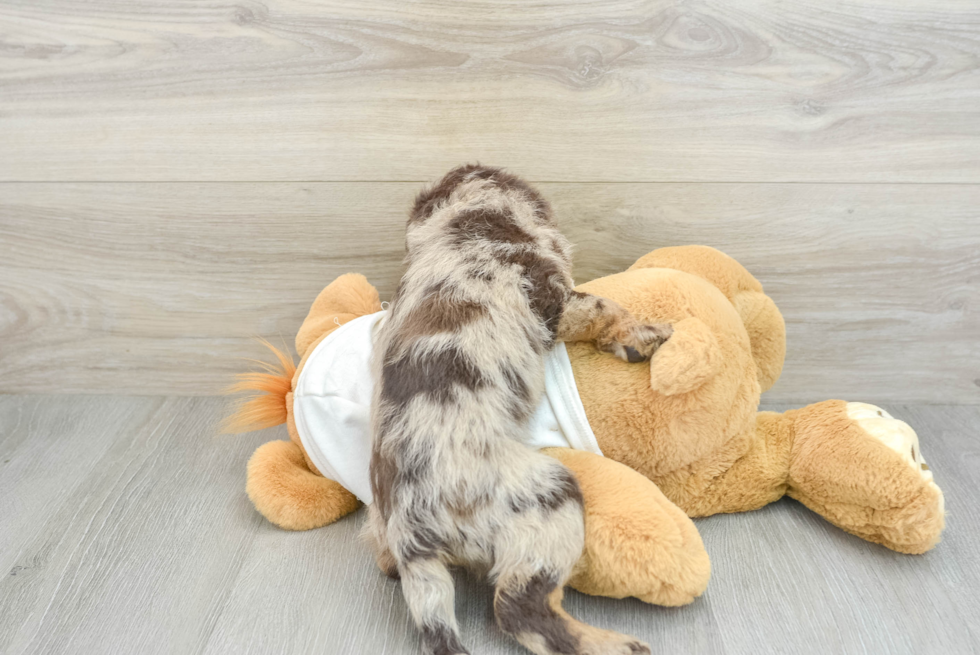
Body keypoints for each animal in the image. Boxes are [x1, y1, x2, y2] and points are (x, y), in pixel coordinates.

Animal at [368, 165, 672, 655]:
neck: (467, 222)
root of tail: (411, 531)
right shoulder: (556, 298)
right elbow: (607, 306)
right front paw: (643, 336)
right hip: (550, 495)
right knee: (519, 610)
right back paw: (614, 644)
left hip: (388, 532)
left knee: (387, 563)